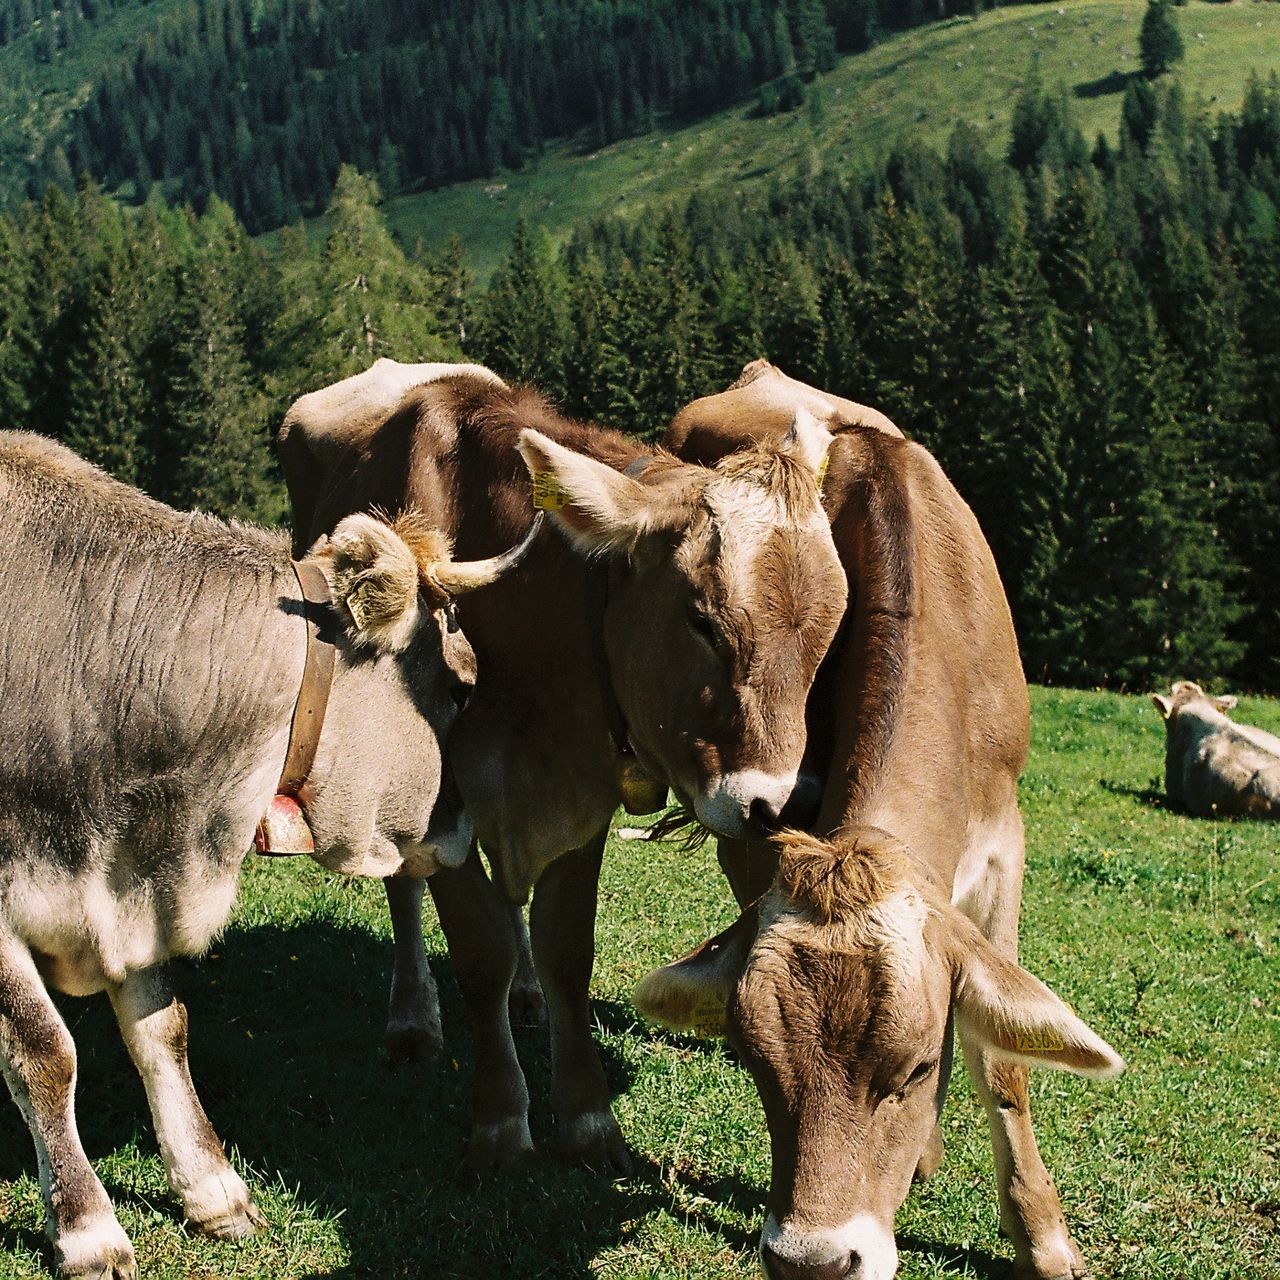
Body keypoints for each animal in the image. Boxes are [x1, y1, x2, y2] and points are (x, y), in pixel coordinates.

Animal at [0, 430, 536, 1279]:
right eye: (460, 686)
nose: (462, 827)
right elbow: (43, 1052)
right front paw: (87, 1230)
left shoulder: (133, 885)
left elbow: (163, 1028)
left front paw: (212, 1188)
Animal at [278, 360, 847, 1173]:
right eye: (701, 619)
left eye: (830, 626)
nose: (780, 805)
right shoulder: (442, 802)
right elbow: (478, 951)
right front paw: (499, 1123)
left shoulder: (582, 801)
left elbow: (567, 950)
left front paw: (586, 1119)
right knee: (406, 891)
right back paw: (413, 1019)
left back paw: (527, 998)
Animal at [633, 368, 1124, 1280]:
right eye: (757, 1065)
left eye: (918, 1065)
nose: (812, 1262)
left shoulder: (1006, 843)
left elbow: (1003, 1061)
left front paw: (1043, 1236)